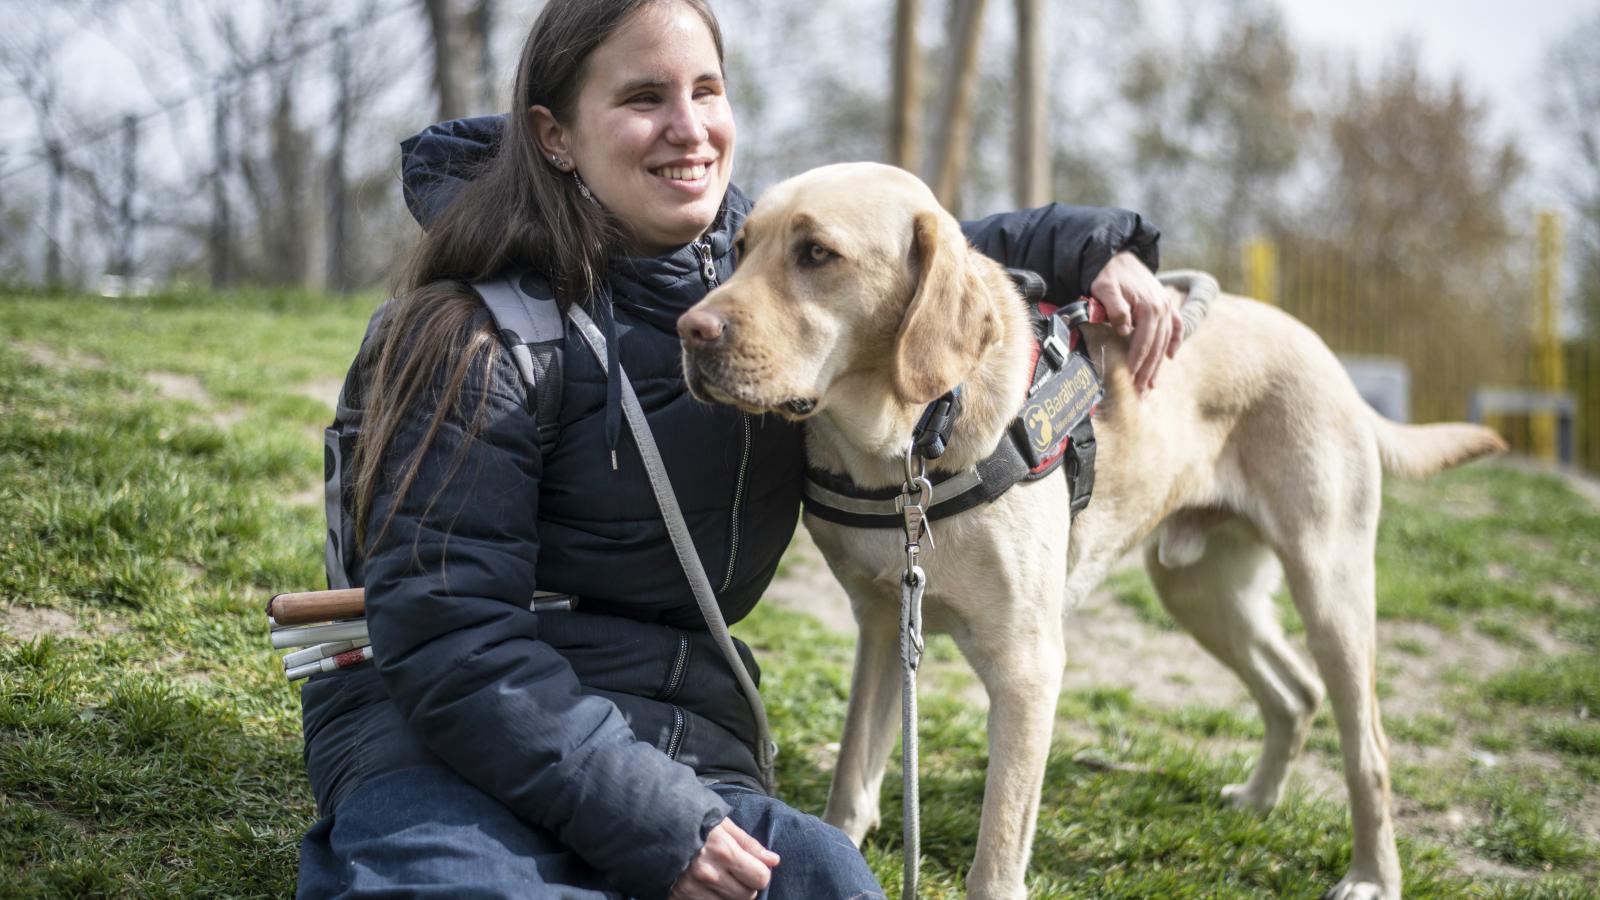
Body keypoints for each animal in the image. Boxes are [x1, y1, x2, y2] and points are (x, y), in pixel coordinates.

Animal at [681, 162, 1504, 896]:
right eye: (740, 246)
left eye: (816, 253)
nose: (691, 330)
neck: (910, 445)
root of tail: (1328, 357)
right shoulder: (885, 628)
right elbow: (852, 786)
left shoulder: (1028, 667)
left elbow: (996, 860)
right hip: (1200, 592)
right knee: (1295, 694)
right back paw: (1259, 801)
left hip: (1329, 588)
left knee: (1369, 750)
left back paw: (1372, 876)